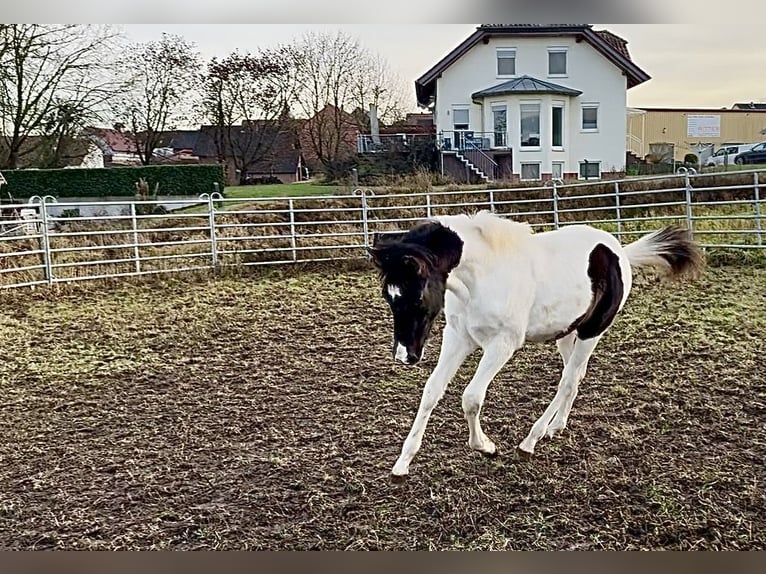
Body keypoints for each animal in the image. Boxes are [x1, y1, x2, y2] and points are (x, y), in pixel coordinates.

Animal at [368, 211, 704, 481]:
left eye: (416, 297)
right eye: (389, 297)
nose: (405, 355)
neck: (483, 276)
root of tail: (618, 251)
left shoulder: (502, 343)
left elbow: (471, 397)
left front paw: (485, 446)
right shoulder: (459, 337)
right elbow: (431, 391)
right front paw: (402, 463)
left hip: (592, 331)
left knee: (566, 381)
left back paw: (531, 440)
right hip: (569, 333)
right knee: (575, 378)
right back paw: (556, 427)